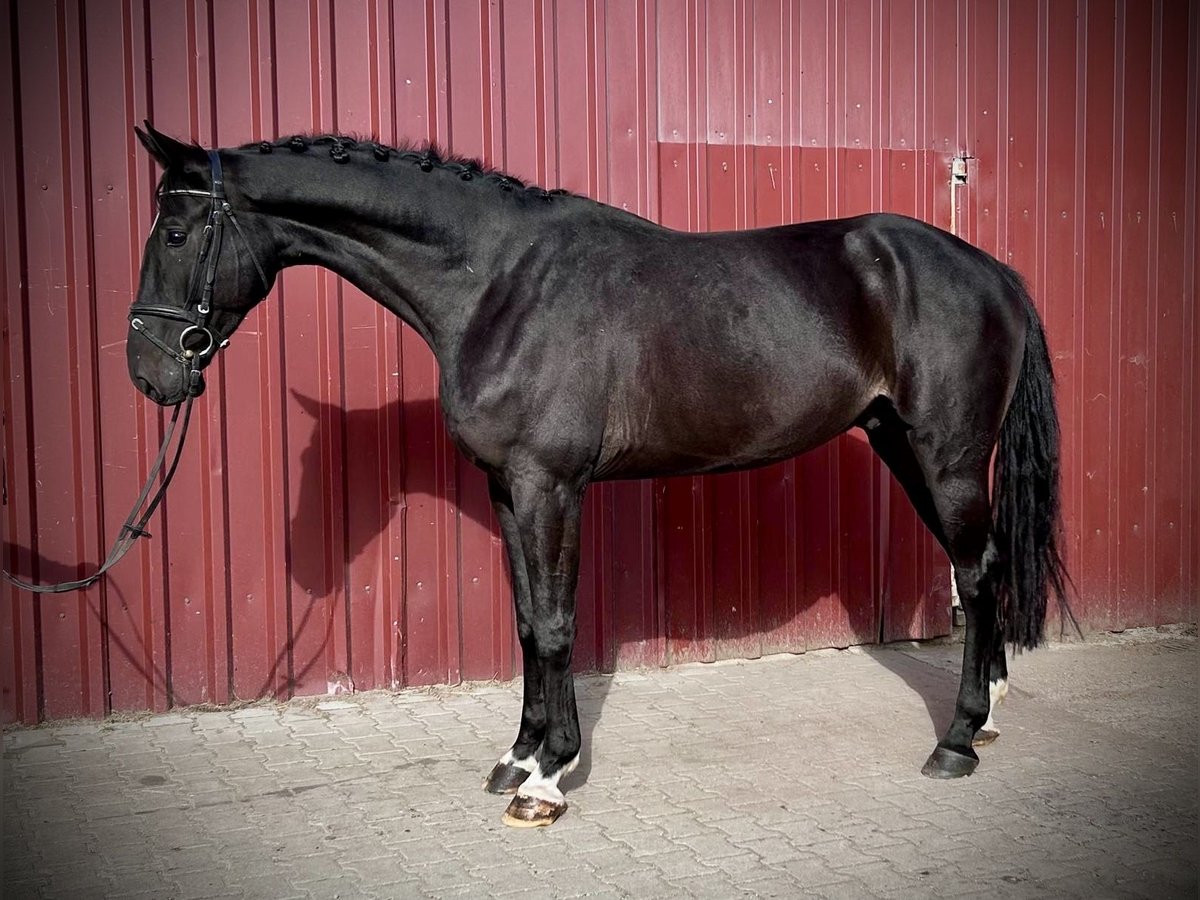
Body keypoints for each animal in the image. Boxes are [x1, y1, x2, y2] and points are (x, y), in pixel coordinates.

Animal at [129, 123, 1070, 830]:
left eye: (173, 234)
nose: (151, 374)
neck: (499, 284)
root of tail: (993, 272)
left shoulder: (550, 486)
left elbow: (554, 626)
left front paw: (548, 780)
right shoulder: (507, 488)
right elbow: (523, 623)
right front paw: (515, 757)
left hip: (947, 457)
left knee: (976, 575)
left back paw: (956, 741)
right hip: (902, 447)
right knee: (981, 571)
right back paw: (986, 717)